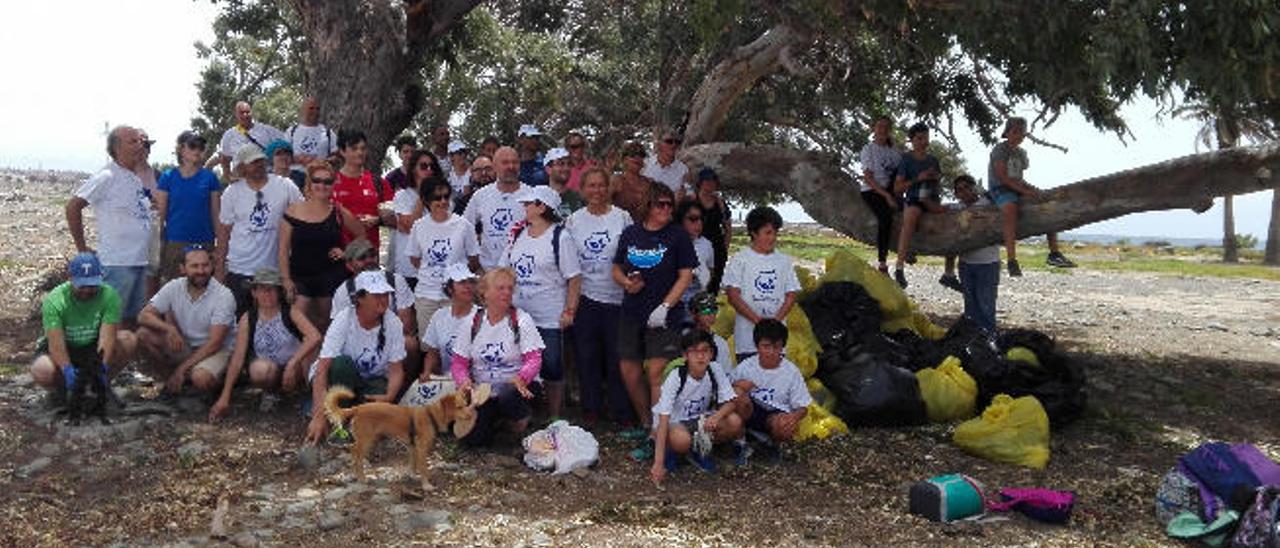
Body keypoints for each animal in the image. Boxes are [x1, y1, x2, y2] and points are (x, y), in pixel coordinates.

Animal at [325, 384, 488, 489]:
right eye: (459, 407)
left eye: (465, 405)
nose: (472, 414)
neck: (431, 416)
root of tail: (358, 408)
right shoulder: (421, 448)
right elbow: (423, 467)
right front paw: (426, 485)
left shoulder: (412, 447)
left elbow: (413, 464)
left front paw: (412, 475)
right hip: (367, 440)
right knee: (356, 454)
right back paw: (362, 478)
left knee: (353, 451)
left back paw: (355, 475)